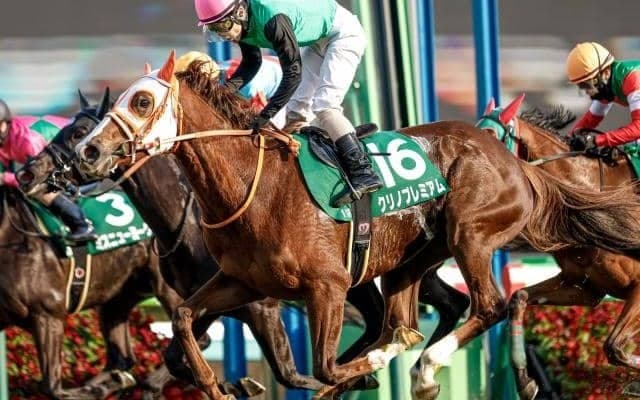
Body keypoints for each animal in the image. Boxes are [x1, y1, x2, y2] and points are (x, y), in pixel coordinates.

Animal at [17, 89, 392, 396]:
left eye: (79, 132)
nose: (29, 173)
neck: (185, 225)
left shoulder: (262, 306)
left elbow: (290, 374)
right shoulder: (208, 298)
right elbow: (177, 354)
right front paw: (230, 385)